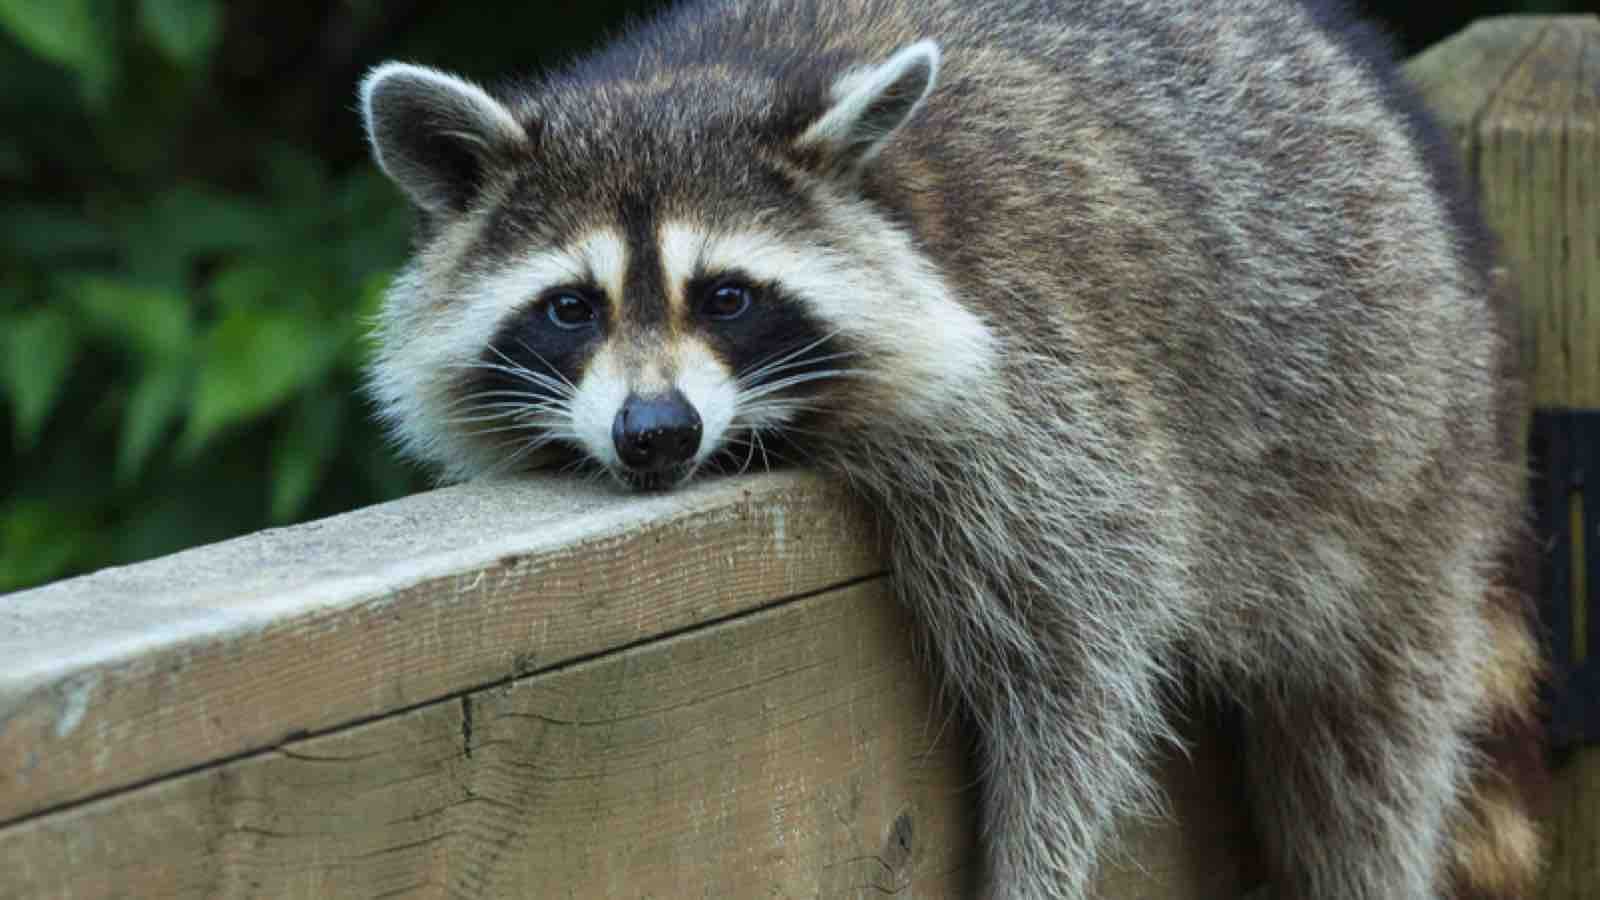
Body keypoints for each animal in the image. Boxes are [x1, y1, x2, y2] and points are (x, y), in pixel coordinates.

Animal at [358, 0, 1546, 896]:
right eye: (571, 307)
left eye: (728, 297)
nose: (656, 435)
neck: (690, 73)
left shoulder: (1041, 401)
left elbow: (1076, 672)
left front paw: (1038, 863)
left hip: (1398, 455)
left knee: (1368, 760)